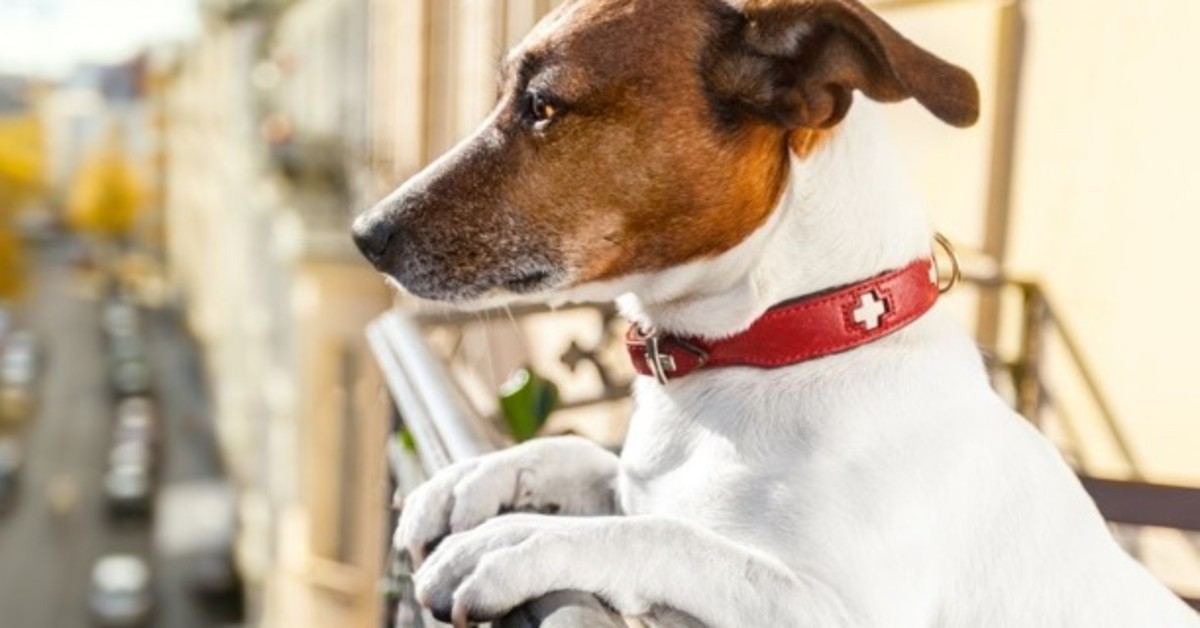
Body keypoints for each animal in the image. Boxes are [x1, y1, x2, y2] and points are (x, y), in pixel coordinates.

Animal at [350, 1, 1195, 628]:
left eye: (540, 106)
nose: (364, 234)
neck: (779, 341)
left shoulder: (837, 607)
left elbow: (672, 536)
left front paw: (521, 538)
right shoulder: (642, 477)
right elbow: (592, 459)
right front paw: (476, 479)